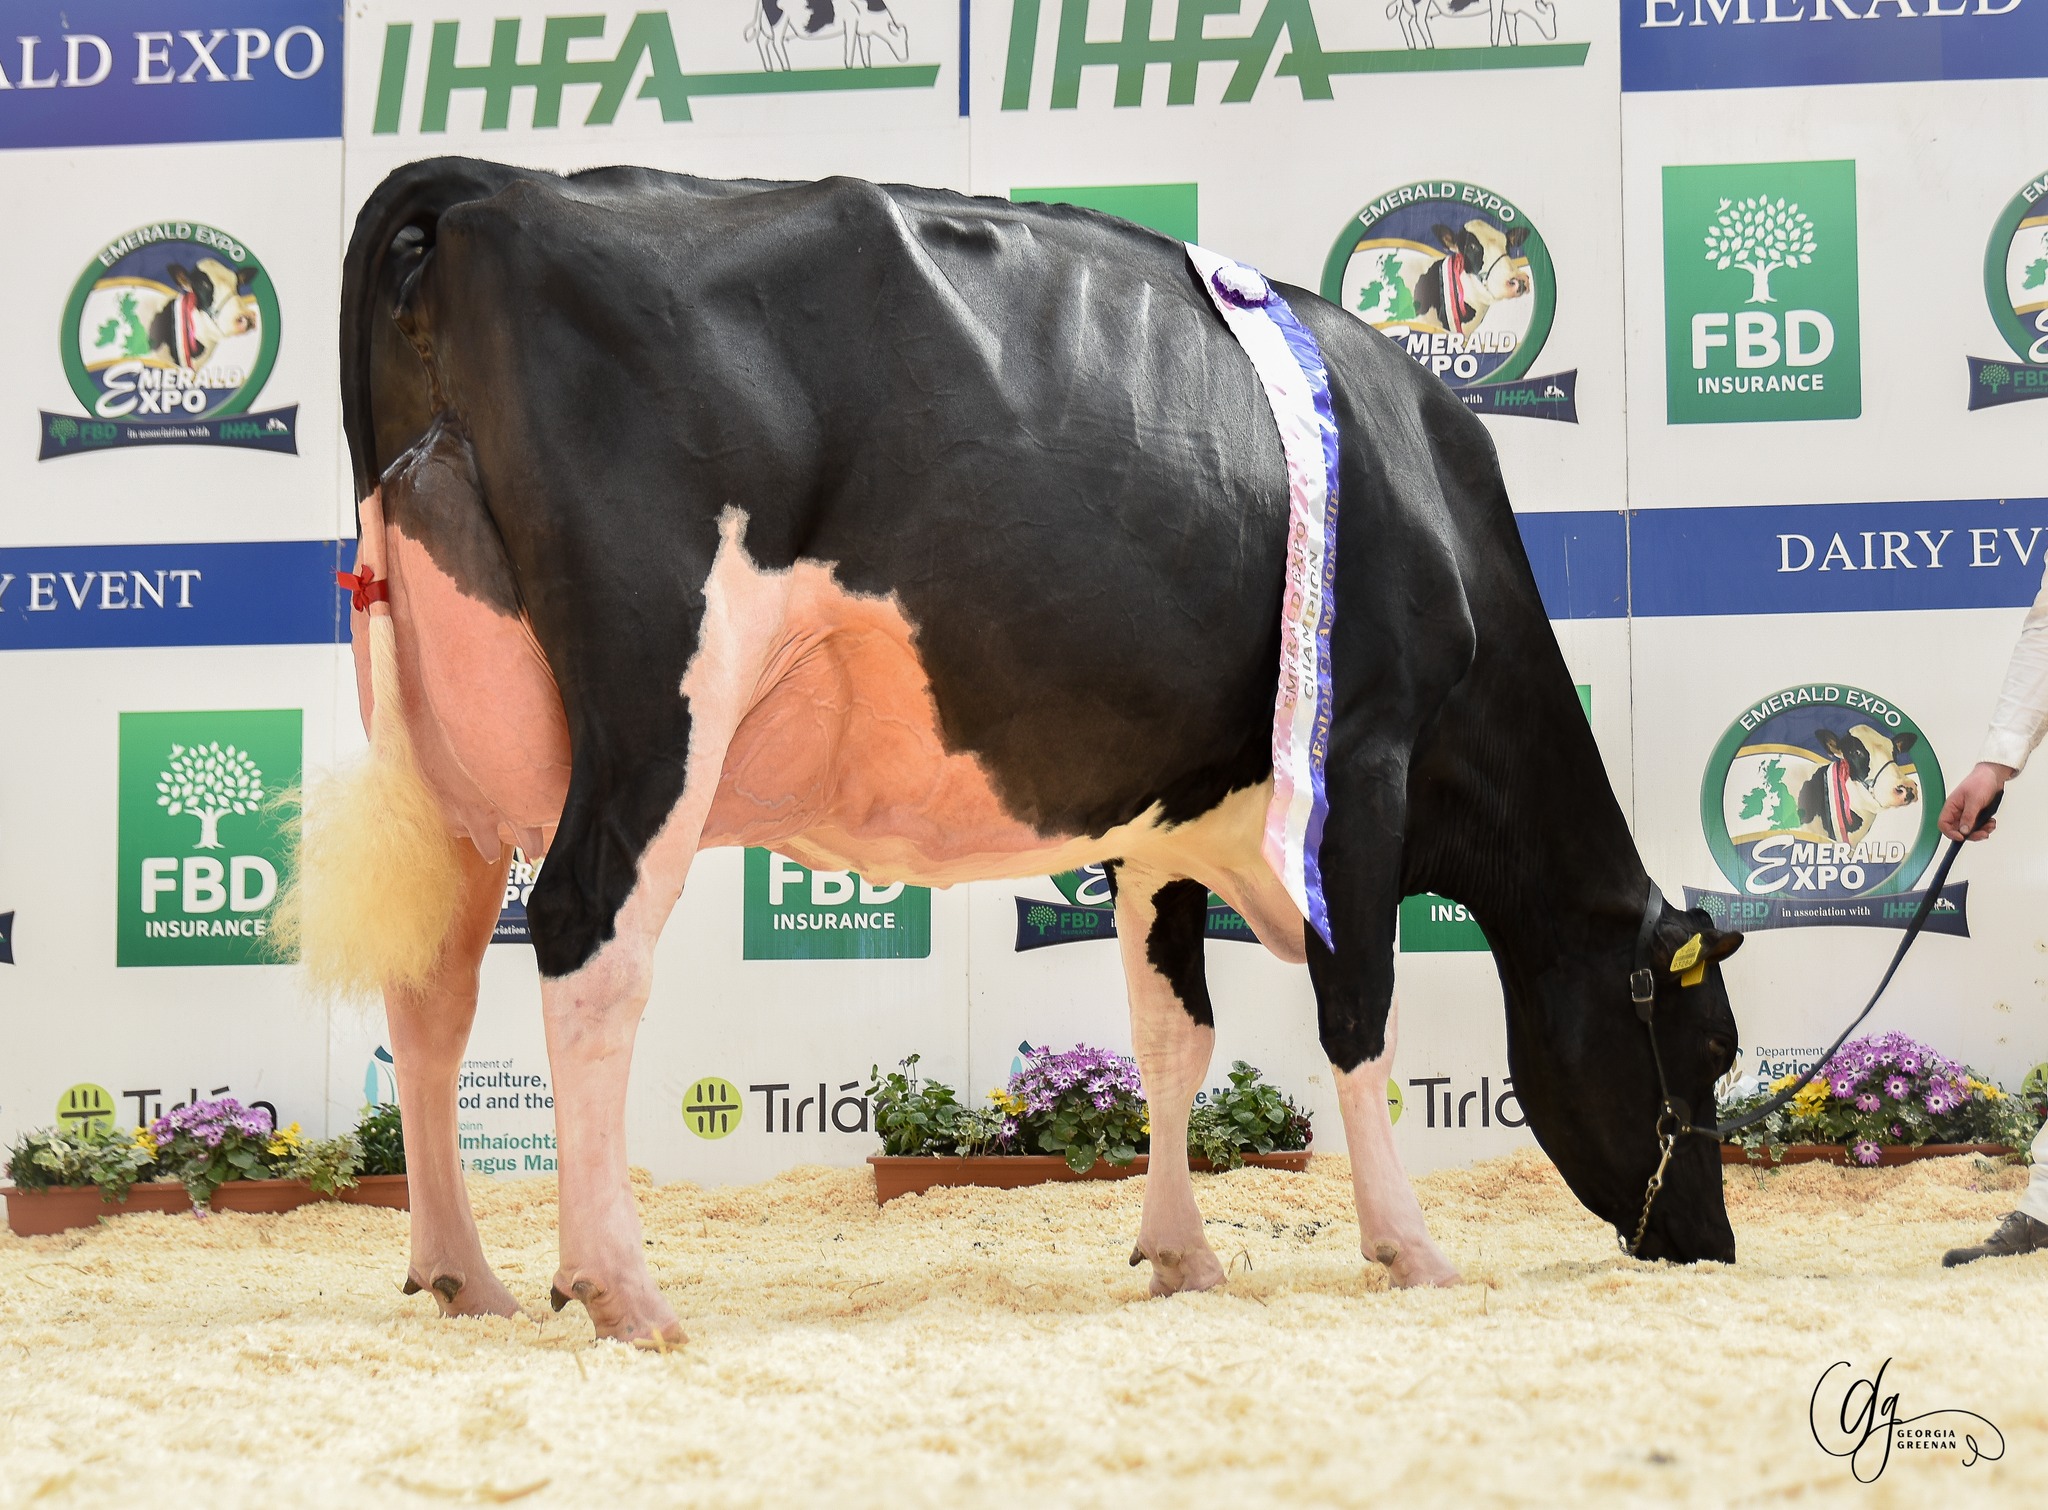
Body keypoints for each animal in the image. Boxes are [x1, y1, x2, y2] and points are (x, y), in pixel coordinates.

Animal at [300, 158, 1744, 1347]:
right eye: (1710, 1048)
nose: (1712, 1244)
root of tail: (495, 186)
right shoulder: (1363, 760)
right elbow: (1358, 1016)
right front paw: (1412, 1249)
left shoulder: (1162, 829)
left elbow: (1173, 1035)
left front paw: (1181, 1255)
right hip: (663, 699)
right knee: (586, 941)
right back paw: (621, 1286)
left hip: (434, 748)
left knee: (431, 991)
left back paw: (465, 1275)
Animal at [745, 0, 909, 70]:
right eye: (899, 39)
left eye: (906, 39)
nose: (905, 58)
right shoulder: (850, 21)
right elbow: (850, 44)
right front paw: (849, 66)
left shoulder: (861, 29)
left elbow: (865, 46)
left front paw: (867, 66)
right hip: (780, 22)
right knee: (776, 42)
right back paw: (786, 68)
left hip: (767, 26)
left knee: (763, 42)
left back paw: (770, 68)